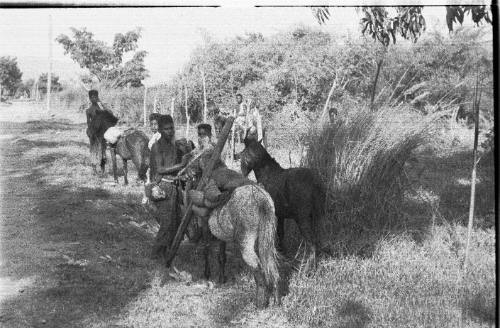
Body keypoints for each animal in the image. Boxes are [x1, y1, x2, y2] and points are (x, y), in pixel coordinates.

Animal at [239, 136, 326, 266]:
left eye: (245, 152)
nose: (243, 172)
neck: (267, 173)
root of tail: (315, 182)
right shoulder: (280, 215)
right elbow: (281, 233)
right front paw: (283, 254)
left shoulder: (272, 214)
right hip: (318, 217)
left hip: (303, 219)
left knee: (311, 244)